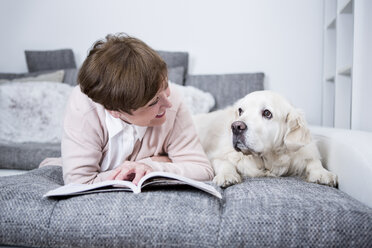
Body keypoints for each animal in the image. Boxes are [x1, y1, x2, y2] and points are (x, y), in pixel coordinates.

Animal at [193, 90, 338, 187]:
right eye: (240, 111)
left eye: (267, 113)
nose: (236, 126)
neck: (267, 160)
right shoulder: (215, 155)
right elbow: (224, 163)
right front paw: (227, 175)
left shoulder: (304, 150)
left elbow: (313, 161)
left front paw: (322, 173)